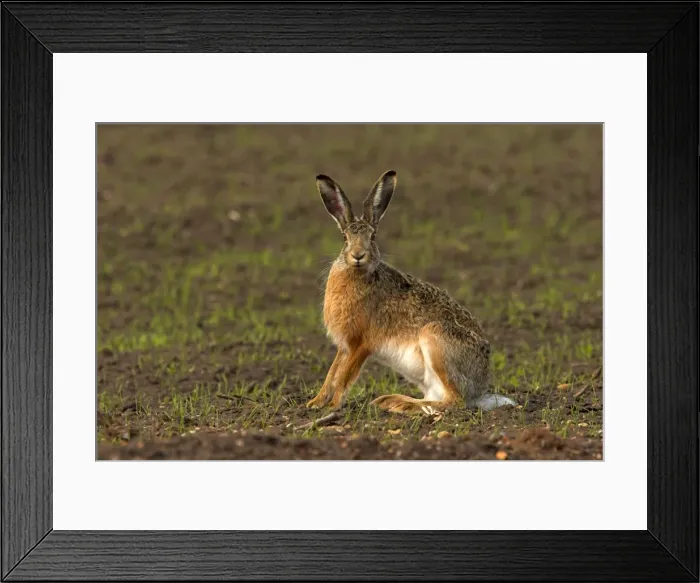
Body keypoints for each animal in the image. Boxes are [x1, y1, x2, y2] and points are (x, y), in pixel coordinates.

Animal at [306, 170, 517, 416]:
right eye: (345, 238)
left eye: (373, 237)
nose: (358, 255)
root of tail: (480, 389)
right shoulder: (345, 346)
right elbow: (332, 373)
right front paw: (315, 403)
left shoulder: (361, 344)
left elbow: (345, 377)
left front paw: (333, 406)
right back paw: (389, 400)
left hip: (436, 339)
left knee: (455, 401)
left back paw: (403, 404)